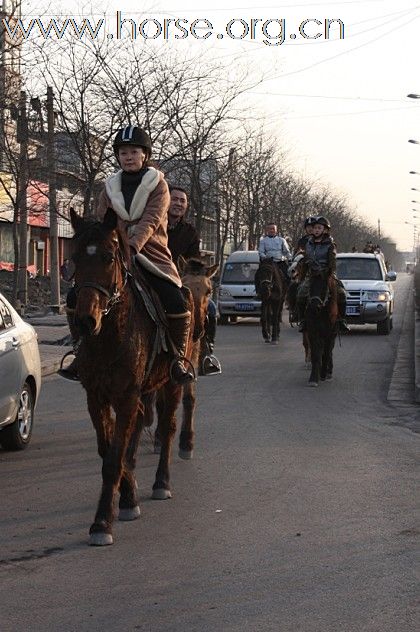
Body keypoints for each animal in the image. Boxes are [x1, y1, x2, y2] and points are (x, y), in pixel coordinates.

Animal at [68, 210, 194, 544]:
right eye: (74, 257)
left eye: (109, 257)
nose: (85, 320)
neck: (109, 335)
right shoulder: (96, 396)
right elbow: (109, 450)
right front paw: (127, 496)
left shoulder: (125, 395)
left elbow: (114, 458)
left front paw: (102, 523)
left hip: (172, 382)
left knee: (167, 426)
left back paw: (161, 482)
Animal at [154, 256, 220, 460]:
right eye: (185, 284)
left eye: (209, 291)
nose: (198, 329)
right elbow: (161, 401)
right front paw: (159, 437)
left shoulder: (190, 356)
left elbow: (189, 398)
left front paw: (187, 442)